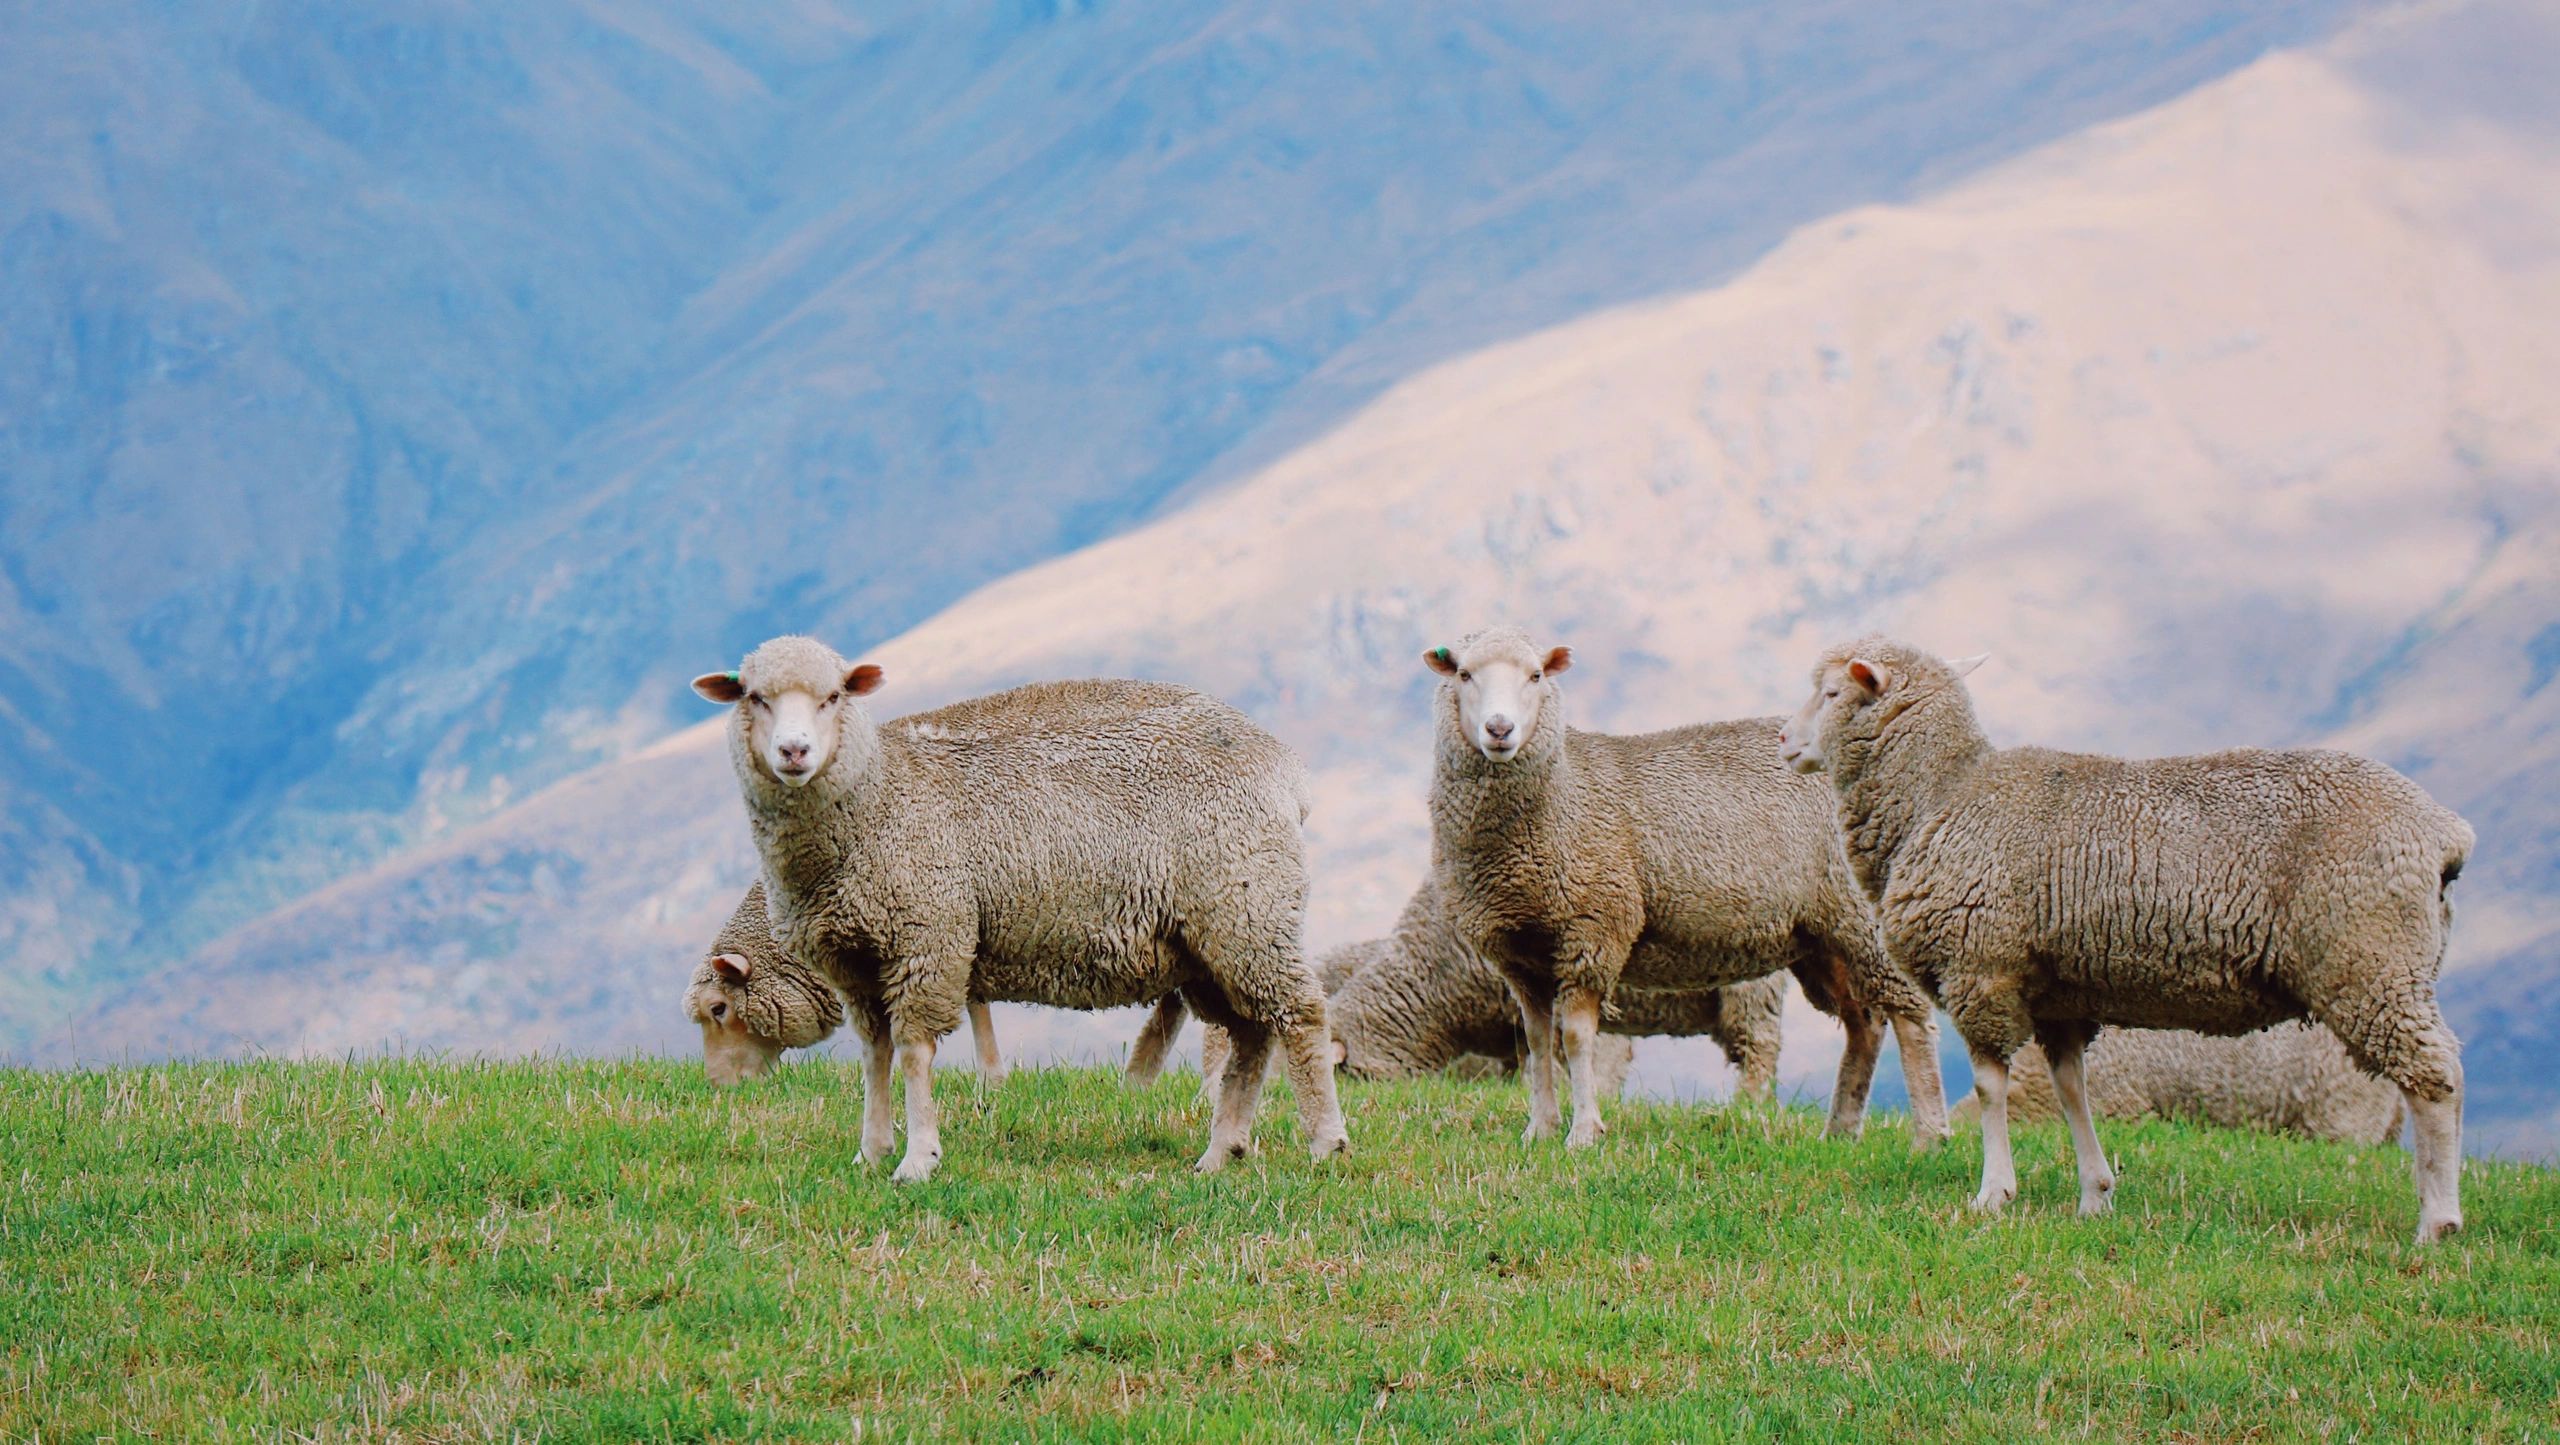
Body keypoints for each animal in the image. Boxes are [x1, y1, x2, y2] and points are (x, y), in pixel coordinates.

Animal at [682, 881, 1189, 1088]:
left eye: (718, 1008)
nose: (718, 1086)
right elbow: (975, 999)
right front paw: (994, 1077)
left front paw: (989, 1078)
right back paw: (1139, 1077)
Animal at [1422, 627, 1951, 1152]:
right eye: (1463, 674)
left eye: (1536, 675)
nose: (1499, 730)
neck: (1561, 793)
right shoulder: (1517, 953)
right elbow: (1535, 1042)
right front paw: (1540, 1129)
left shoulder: (1594, 928)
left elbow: (1574, 1038)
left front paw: (1584, 1133)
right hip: (1822, 936)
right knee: (1865, 1023)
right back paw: (1840, 1130)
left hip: (1861, 917)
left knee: (1909, 1017)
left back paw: (1929, 1133)